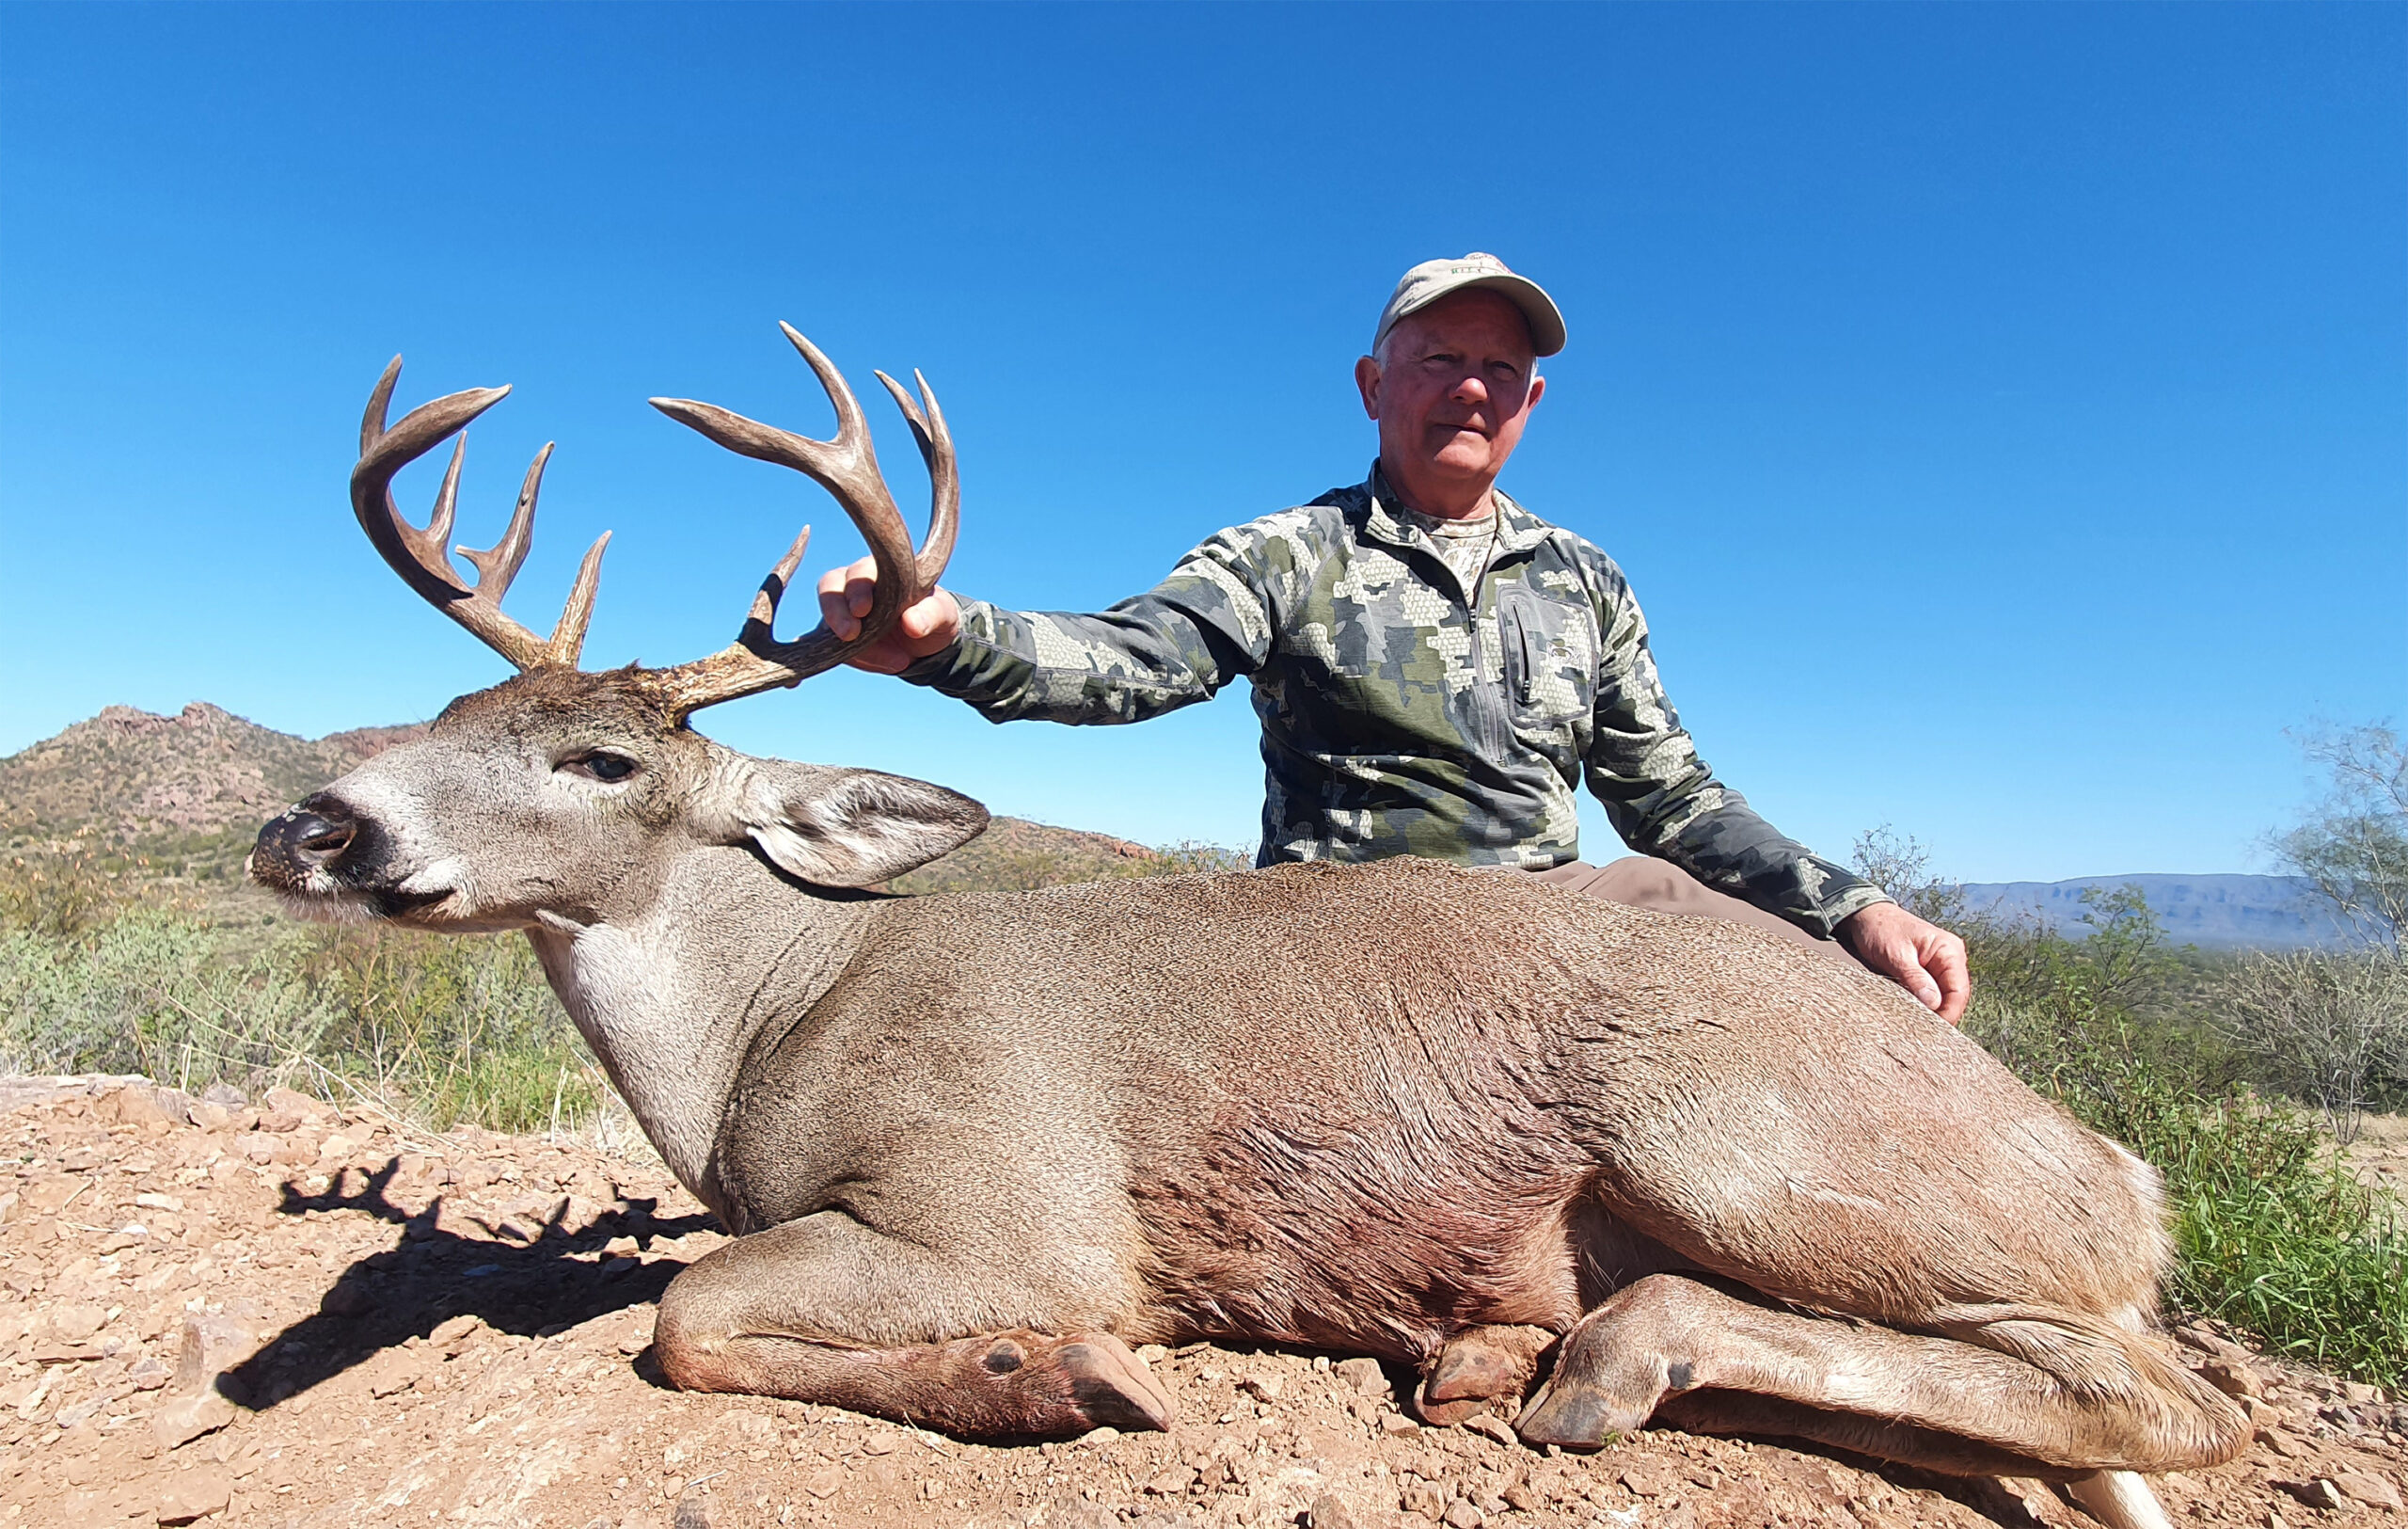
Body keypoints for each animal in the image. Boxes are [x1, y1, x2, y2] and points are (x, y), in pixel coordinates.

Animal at [249, 325, 2246, 1529]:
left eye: (597, 758)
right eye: (438, 716)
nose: (309, 825)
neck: (779, 1021)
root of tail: (2123, 1167)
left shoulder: (1013, 1207)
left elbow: (682, 1311)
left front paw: (1044, 1378)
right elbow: (690, 1304)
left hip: (1752, 1144)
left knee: (2154, 1394)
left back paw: (1598, 1363)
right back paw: (1507, 1353)